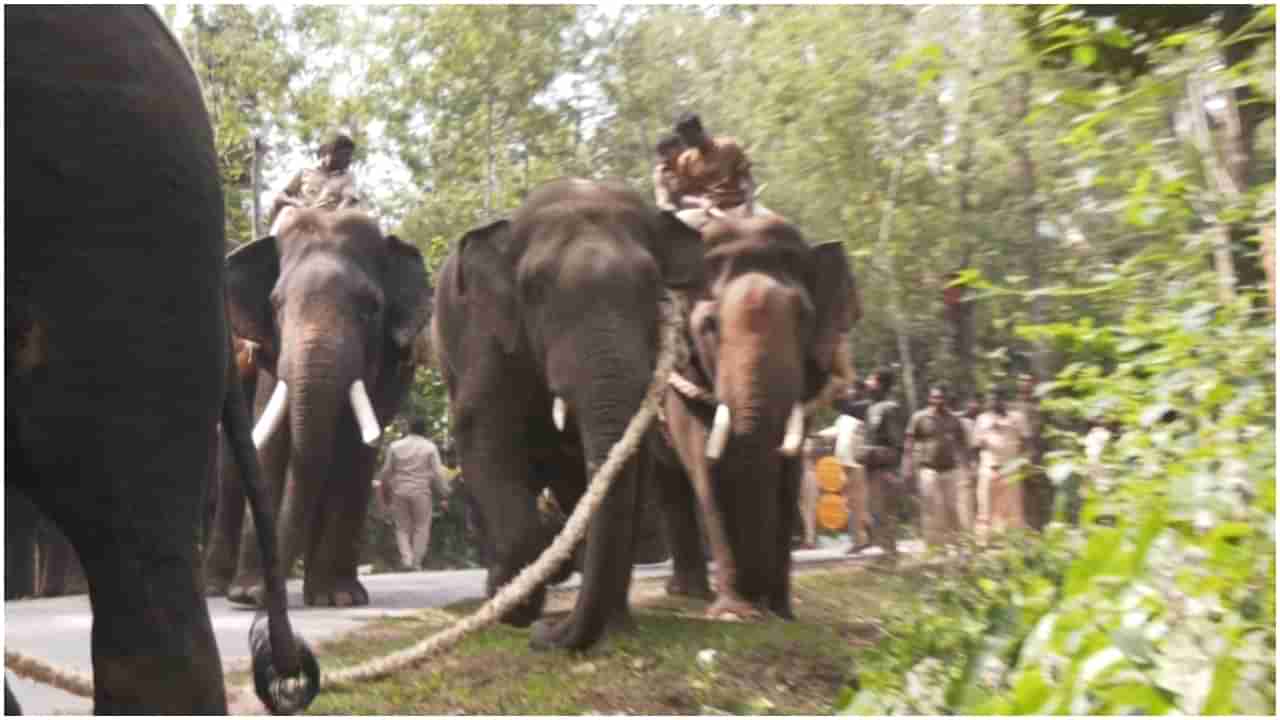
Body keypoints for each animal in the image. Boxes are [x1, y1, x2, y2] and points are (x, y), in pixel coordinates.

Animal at [209, 204, 430, 602]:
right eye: (275, 305)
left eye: (371, 308)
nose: (263, 597)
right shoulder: (271, 352)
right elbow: (274, 443)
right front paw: (249, 594)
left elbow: (355, 450)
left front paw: (341, 599)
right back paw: (218, 588)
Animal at [435, 176, 706, 648]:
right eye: (534, 288)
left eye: (653, 284)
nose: (544, 633)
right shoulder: (484, 338)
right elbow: (485, 436)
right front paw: (516, 609)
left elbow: (632, 459)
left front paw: (612, 627)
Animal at [655, 211, 855, 617]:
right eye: (709, 325)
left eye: (804, 317)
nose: (758, 599)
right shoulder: (678, 371)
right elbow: (703, 461)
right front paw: (734, 615)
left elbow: (790, 470)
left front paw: (783, 614)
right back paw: (689, 594)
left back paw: (691, 593)